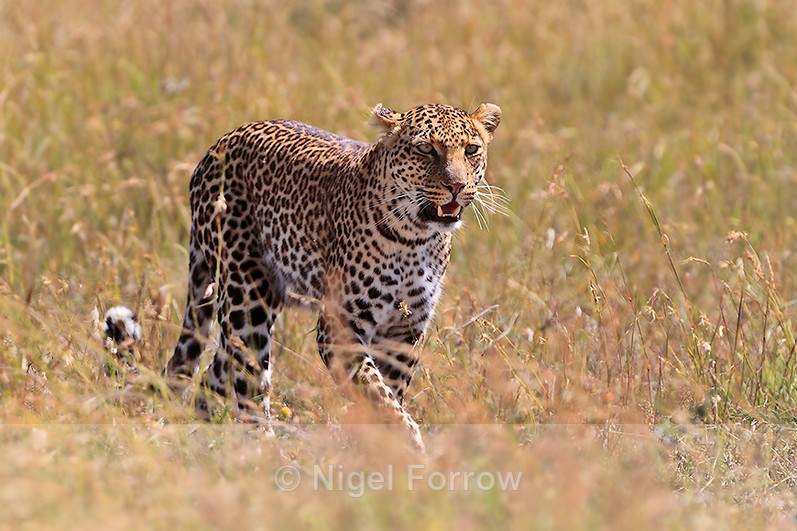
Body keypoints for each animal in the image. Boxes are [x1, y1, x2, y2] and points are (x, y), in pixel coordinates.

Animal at [166, 102, 502, 450]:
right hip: (246, 296)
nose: (456, 186)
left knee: (216, 372)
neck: (416, 237)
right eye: (425, 149)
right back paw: (263, 445)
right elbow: (378, 395)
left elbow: (389, 392)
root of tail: (216, 146)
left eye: (471, 150)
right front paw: (409, 444)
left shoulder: (404, 329)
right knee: (247, 380)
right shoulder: (341, 328)